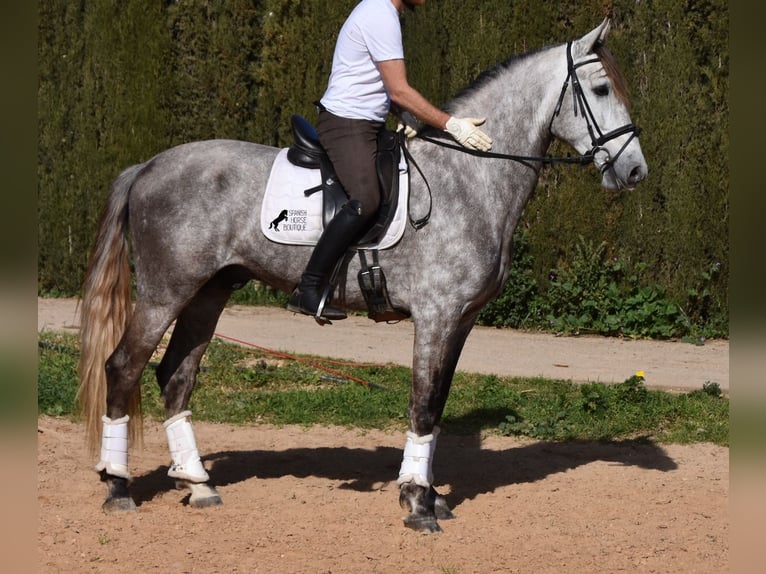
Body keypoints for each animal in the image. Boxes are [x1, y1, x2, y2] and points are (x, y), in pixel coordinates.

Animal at [78, 21, 648, 536]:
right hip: (165, 292)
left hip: (209, 292)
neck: (468, 179)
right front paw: (417, 504)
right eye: (601, 89)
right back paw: (119, 487)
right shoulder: (437, 316)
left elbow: (438, 402)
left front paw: (430, 495)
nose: (635, 171)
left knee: (176, 375)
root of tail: (148, 166)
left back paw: (197, 484)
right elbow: (423, 403)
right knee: (124, 367)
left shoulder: (461, 321)